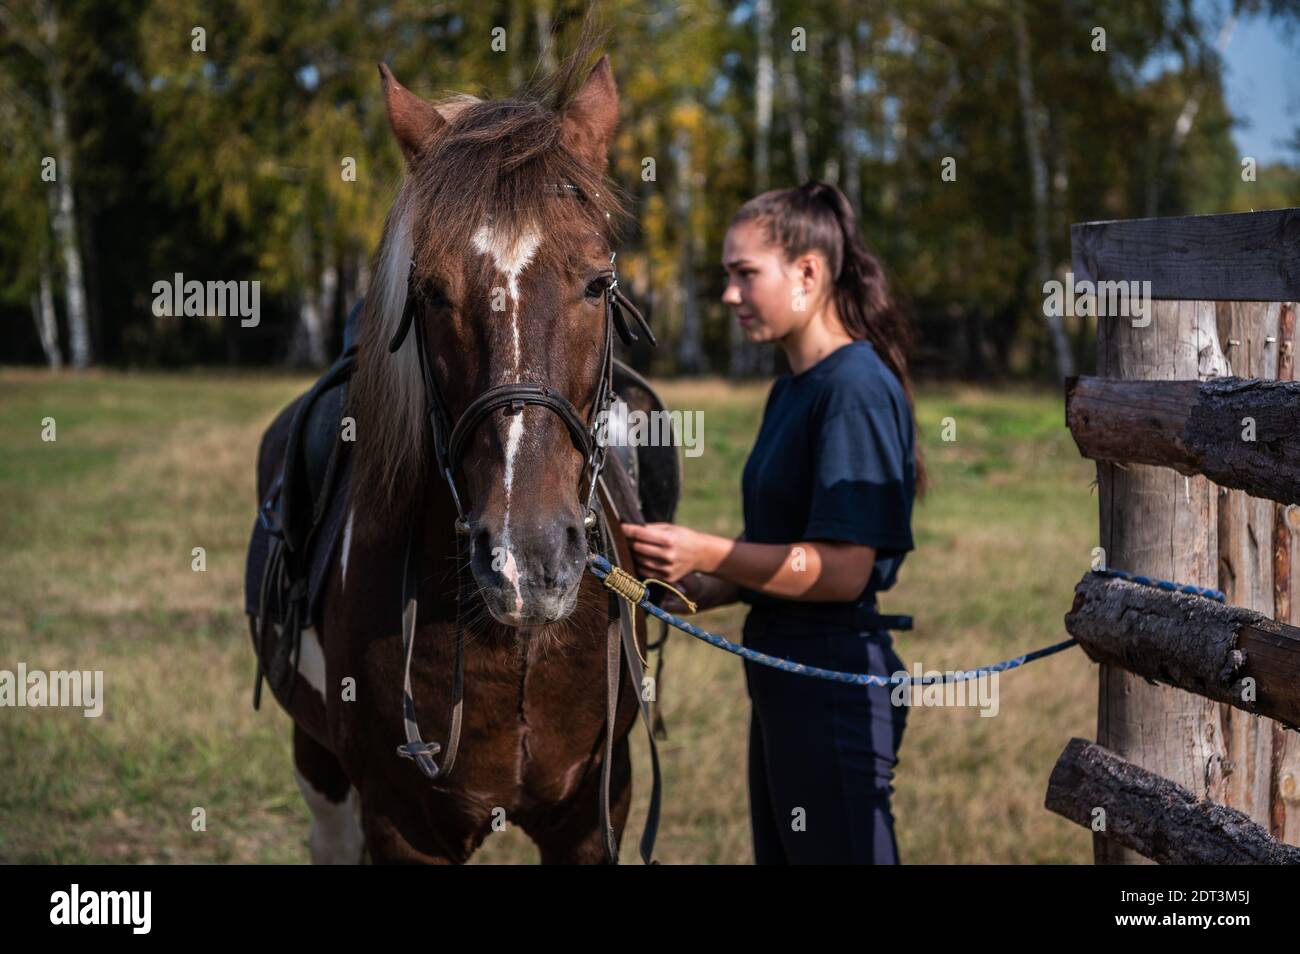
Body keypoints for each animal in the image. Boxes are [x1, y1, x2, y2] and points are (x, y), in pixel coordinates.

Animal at [248, 44, 665, 868]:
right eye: (432, 292)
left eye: (597, 283)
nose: (527, 558)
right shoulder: (401, 826)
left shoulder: (596, 811)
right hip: (318, 762)